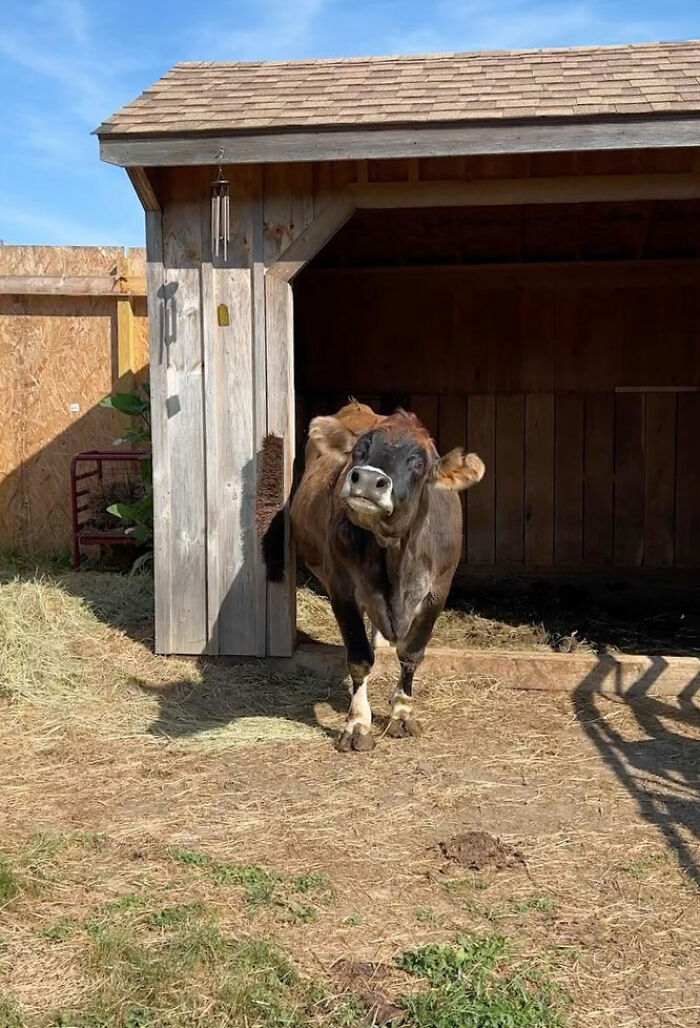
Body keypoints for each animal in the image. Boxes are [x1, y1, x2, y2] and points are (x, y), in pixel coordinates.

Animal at [287, 400, 481, 756]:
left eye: (419, 463)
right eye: (360, 450)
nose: (366, 479)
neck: (394, 557)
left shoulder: (438, 591)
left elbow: (412, 653)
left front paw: (402, 713)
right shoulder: (342, 588)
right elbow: (359, 658)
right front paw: (357, 725)